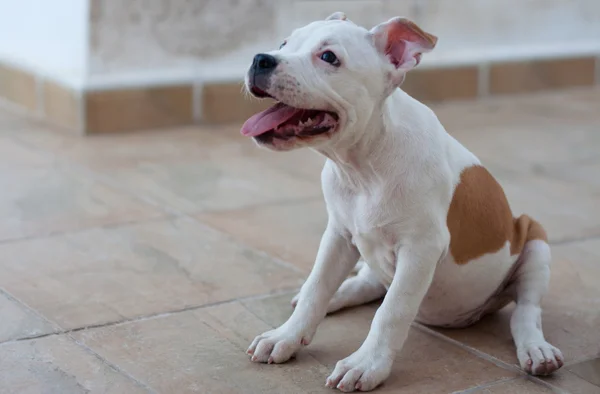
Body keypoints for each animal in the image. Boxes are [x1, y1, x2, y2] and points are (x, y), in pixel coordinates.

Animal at [238, 11, 564, 390]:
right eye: (284, 43)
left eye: (329, 57)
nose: (261, 59)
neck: (363, 166)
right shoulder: (339, 234)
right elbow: (316, 288)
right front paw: (286, 336)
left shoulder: (420, 249)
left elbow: (391, 310)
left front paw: (365, 364)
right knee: (365, 281)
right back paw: (336, 293)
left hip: (535, 240)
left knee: (526, 311)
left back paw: (537, 350)